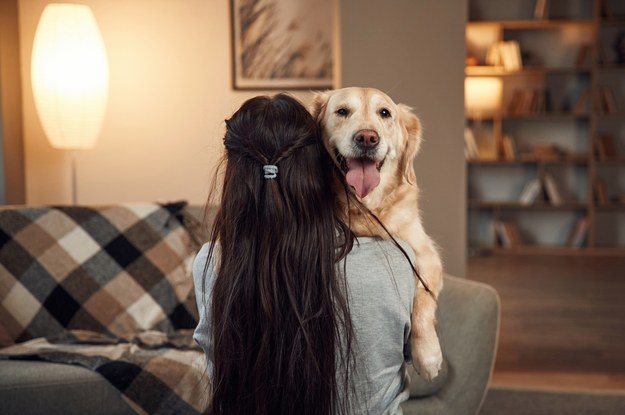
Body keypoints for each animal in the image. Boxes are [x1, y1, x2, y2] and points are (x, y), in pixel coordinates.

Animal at [312, 87, 444, 380]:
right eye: (342, 111)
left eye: (385, 113)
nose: (367, 138)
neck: (366, 206)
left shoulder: (425, 252)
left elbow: (424, 297)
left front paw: (428, 355)